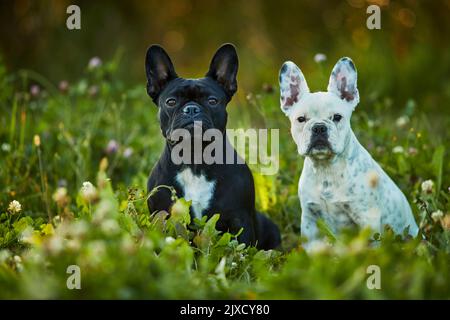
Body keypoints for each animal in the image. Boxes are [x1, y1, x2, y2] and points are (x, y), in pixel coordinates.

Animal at [144, 43, 280, 250]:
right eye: (171, 102)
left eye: (212, 101)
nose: (192, 109)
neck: (195, 158)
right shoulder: (161, 216)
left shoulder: (240, 220)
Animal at [278, 57, 418, 250]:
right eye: (301, 119)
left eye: (337, 117)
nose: (319, 127)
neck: (326, 169)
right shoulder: (309, 219)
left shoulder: (366, 217)